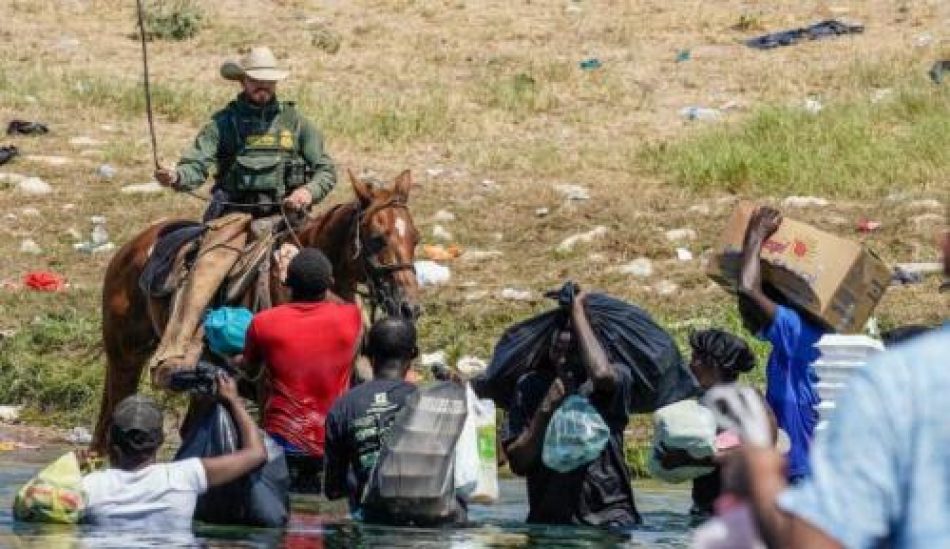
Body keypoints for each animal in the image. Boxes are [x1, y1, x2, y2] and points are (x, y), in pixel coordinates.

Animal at [94, 170, 420, 450]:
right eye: (377, 239)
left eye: (415, 237)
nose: (409, 306)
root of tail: (132, 247)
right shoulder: (269, 393)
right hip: (126, 358)